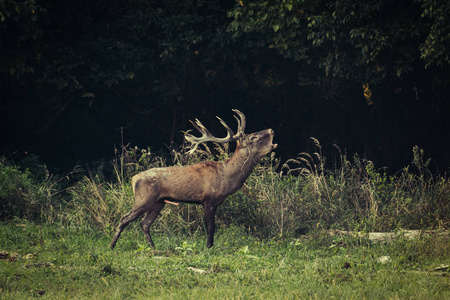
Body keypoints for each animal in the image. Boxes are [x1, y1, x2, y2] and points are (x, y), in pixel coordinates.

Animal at [110, 108, 276, 248]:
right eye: (253, 137)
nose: (272, 130)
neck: (227, 177)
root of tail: (133, 179)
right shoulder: (208, 200)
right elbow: (210, 227)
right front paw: (209, 248)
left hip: (159, 202)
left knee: (145, 223)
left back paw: (153, 248)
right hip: (144, 198)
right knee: (124, 219)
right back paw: (112, 246)